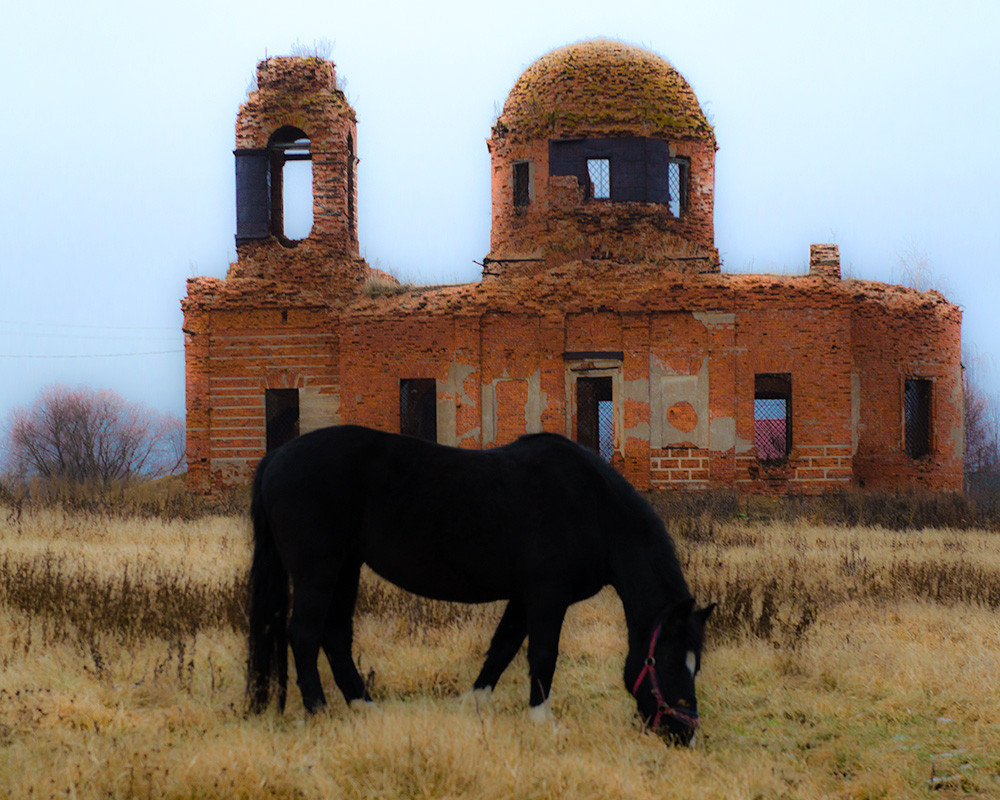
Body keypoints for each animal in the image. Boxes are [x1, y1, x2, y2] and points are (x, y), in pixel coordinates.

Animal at [250, 424, 720, 744]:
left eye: (696, 665)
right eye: (666, 661)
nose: (685, 734)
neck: (593, 506)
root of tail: (277, 457)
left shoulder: (524, 596)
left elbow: (502, 647)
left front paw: (472, 704)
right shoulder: (547, 595)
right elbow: (541, 654)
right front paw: (542, 721)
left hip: (346, 567)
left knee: (335, 636)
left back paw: (363, 706)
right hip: (318, 570)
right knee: (304, 635)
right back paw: (319, 712)